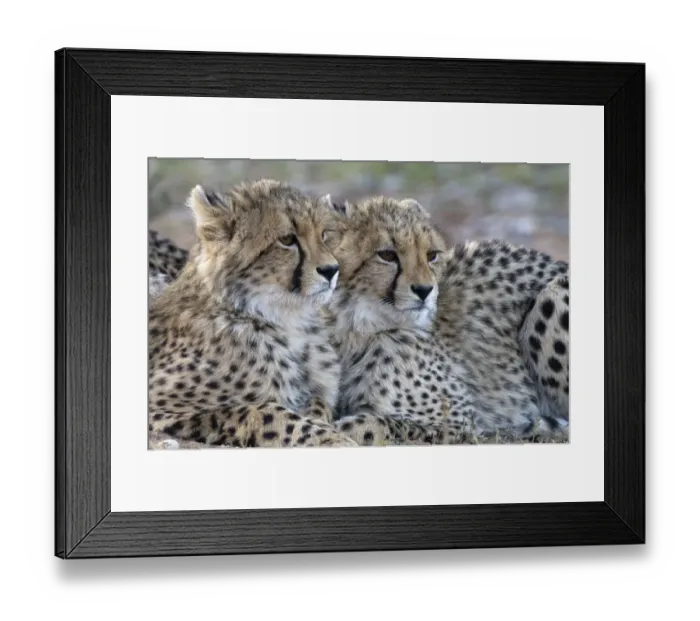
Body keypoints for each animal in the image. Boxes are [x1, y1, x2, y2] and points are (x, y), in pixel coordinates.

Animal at [148, 179, 357, 449]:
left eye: (324, 235)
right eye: (287, 239)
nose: (332, 270)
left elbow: (318, 404)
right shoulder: (161, 406)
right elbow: (263, 411)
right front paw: (333, 438)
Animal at [322, 196, 570, 446]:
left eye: (431, 255)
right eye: (387, 255)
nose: (425, 290)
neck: (356, 326)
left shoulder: (458, 420)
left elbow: (372, 425)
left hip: (552, 298)